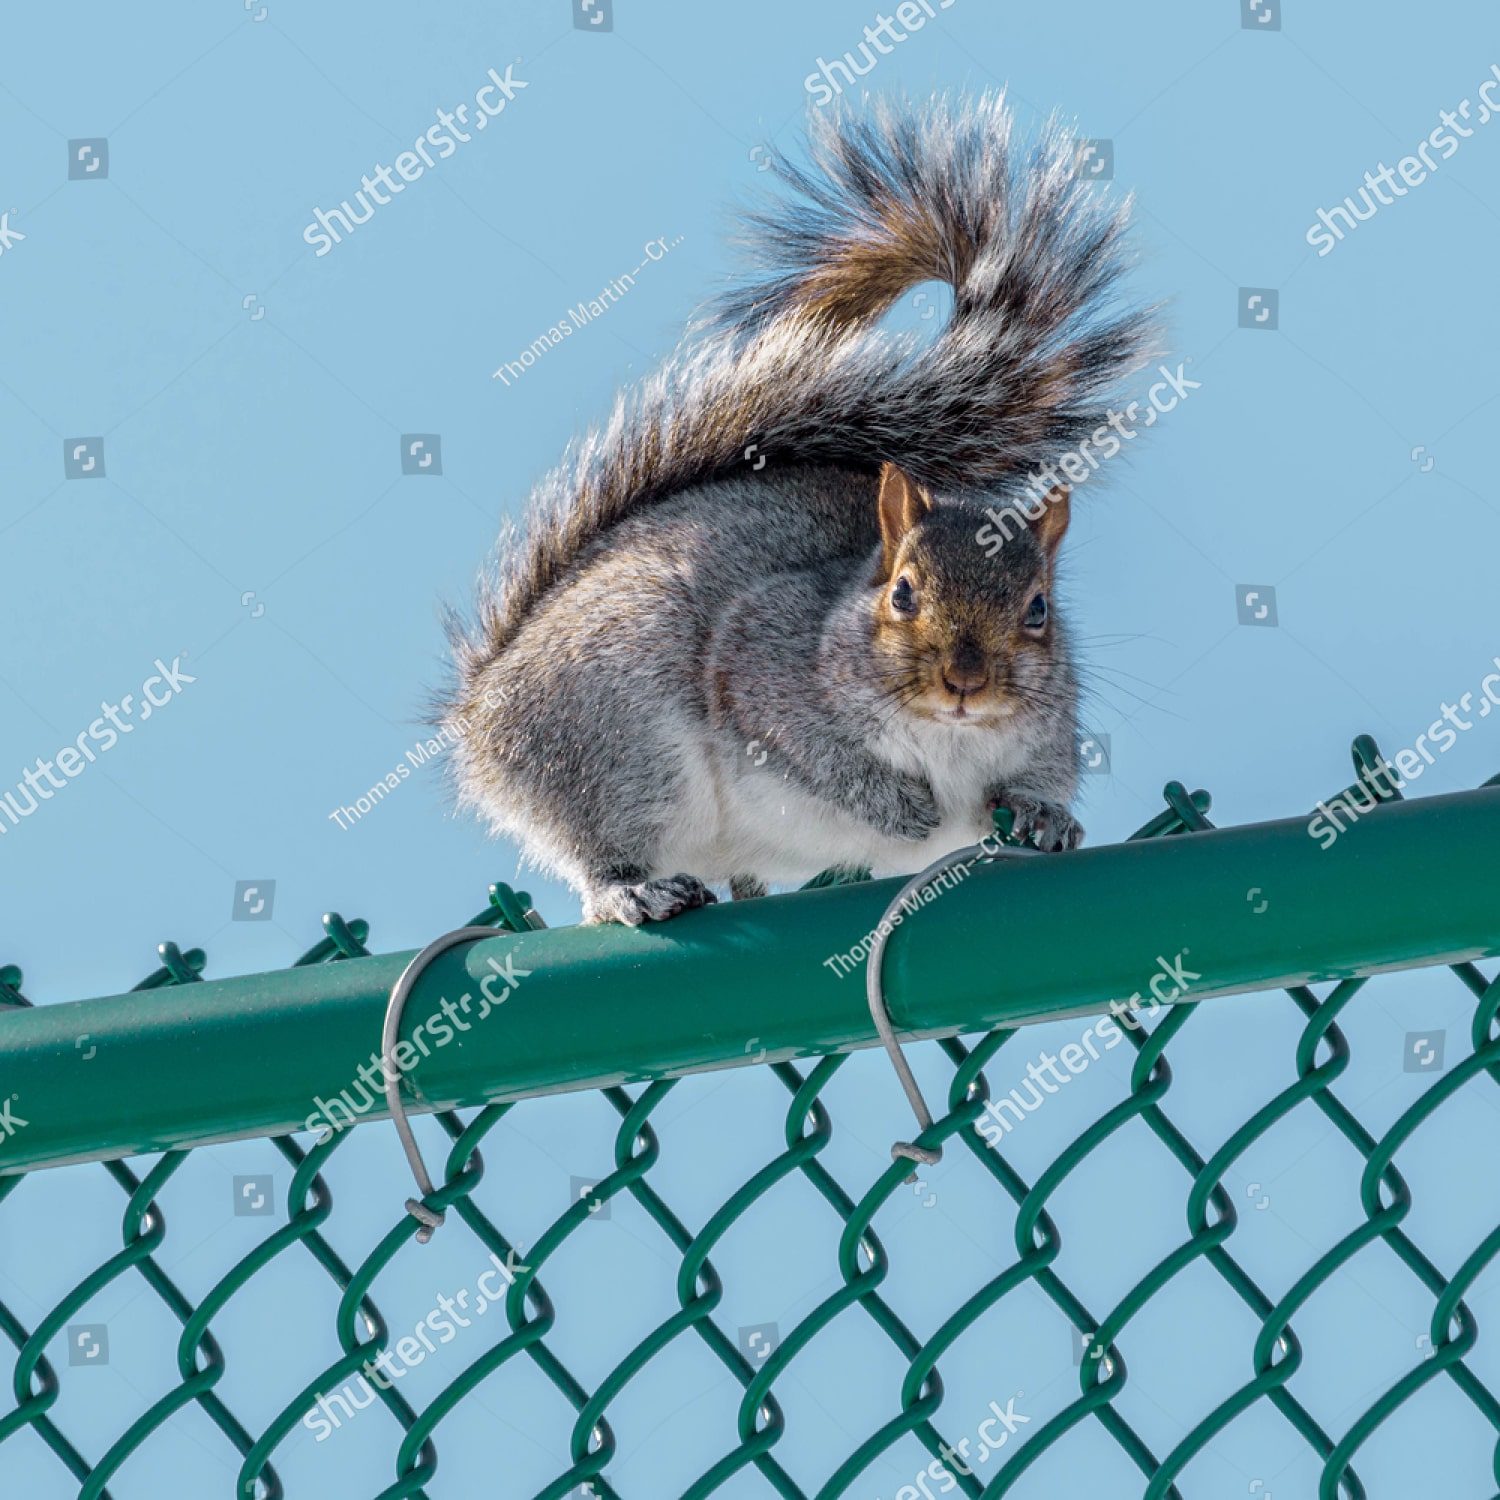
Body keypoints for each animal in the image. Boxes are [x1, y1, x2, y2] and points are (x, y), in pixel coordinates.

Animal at [441, 94, 1154, 925]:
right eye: (902, 593)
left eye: (1040, 608)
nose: (965, 683)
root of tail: (481, 714)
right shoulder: (760, 659)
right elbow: (803, 746)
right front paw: (894, 804)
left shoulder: (1046, 730)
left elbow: (1033, 783)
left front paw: (1047, 816)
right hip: (613, 740)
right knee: (598, 847)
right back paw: (631, 888)